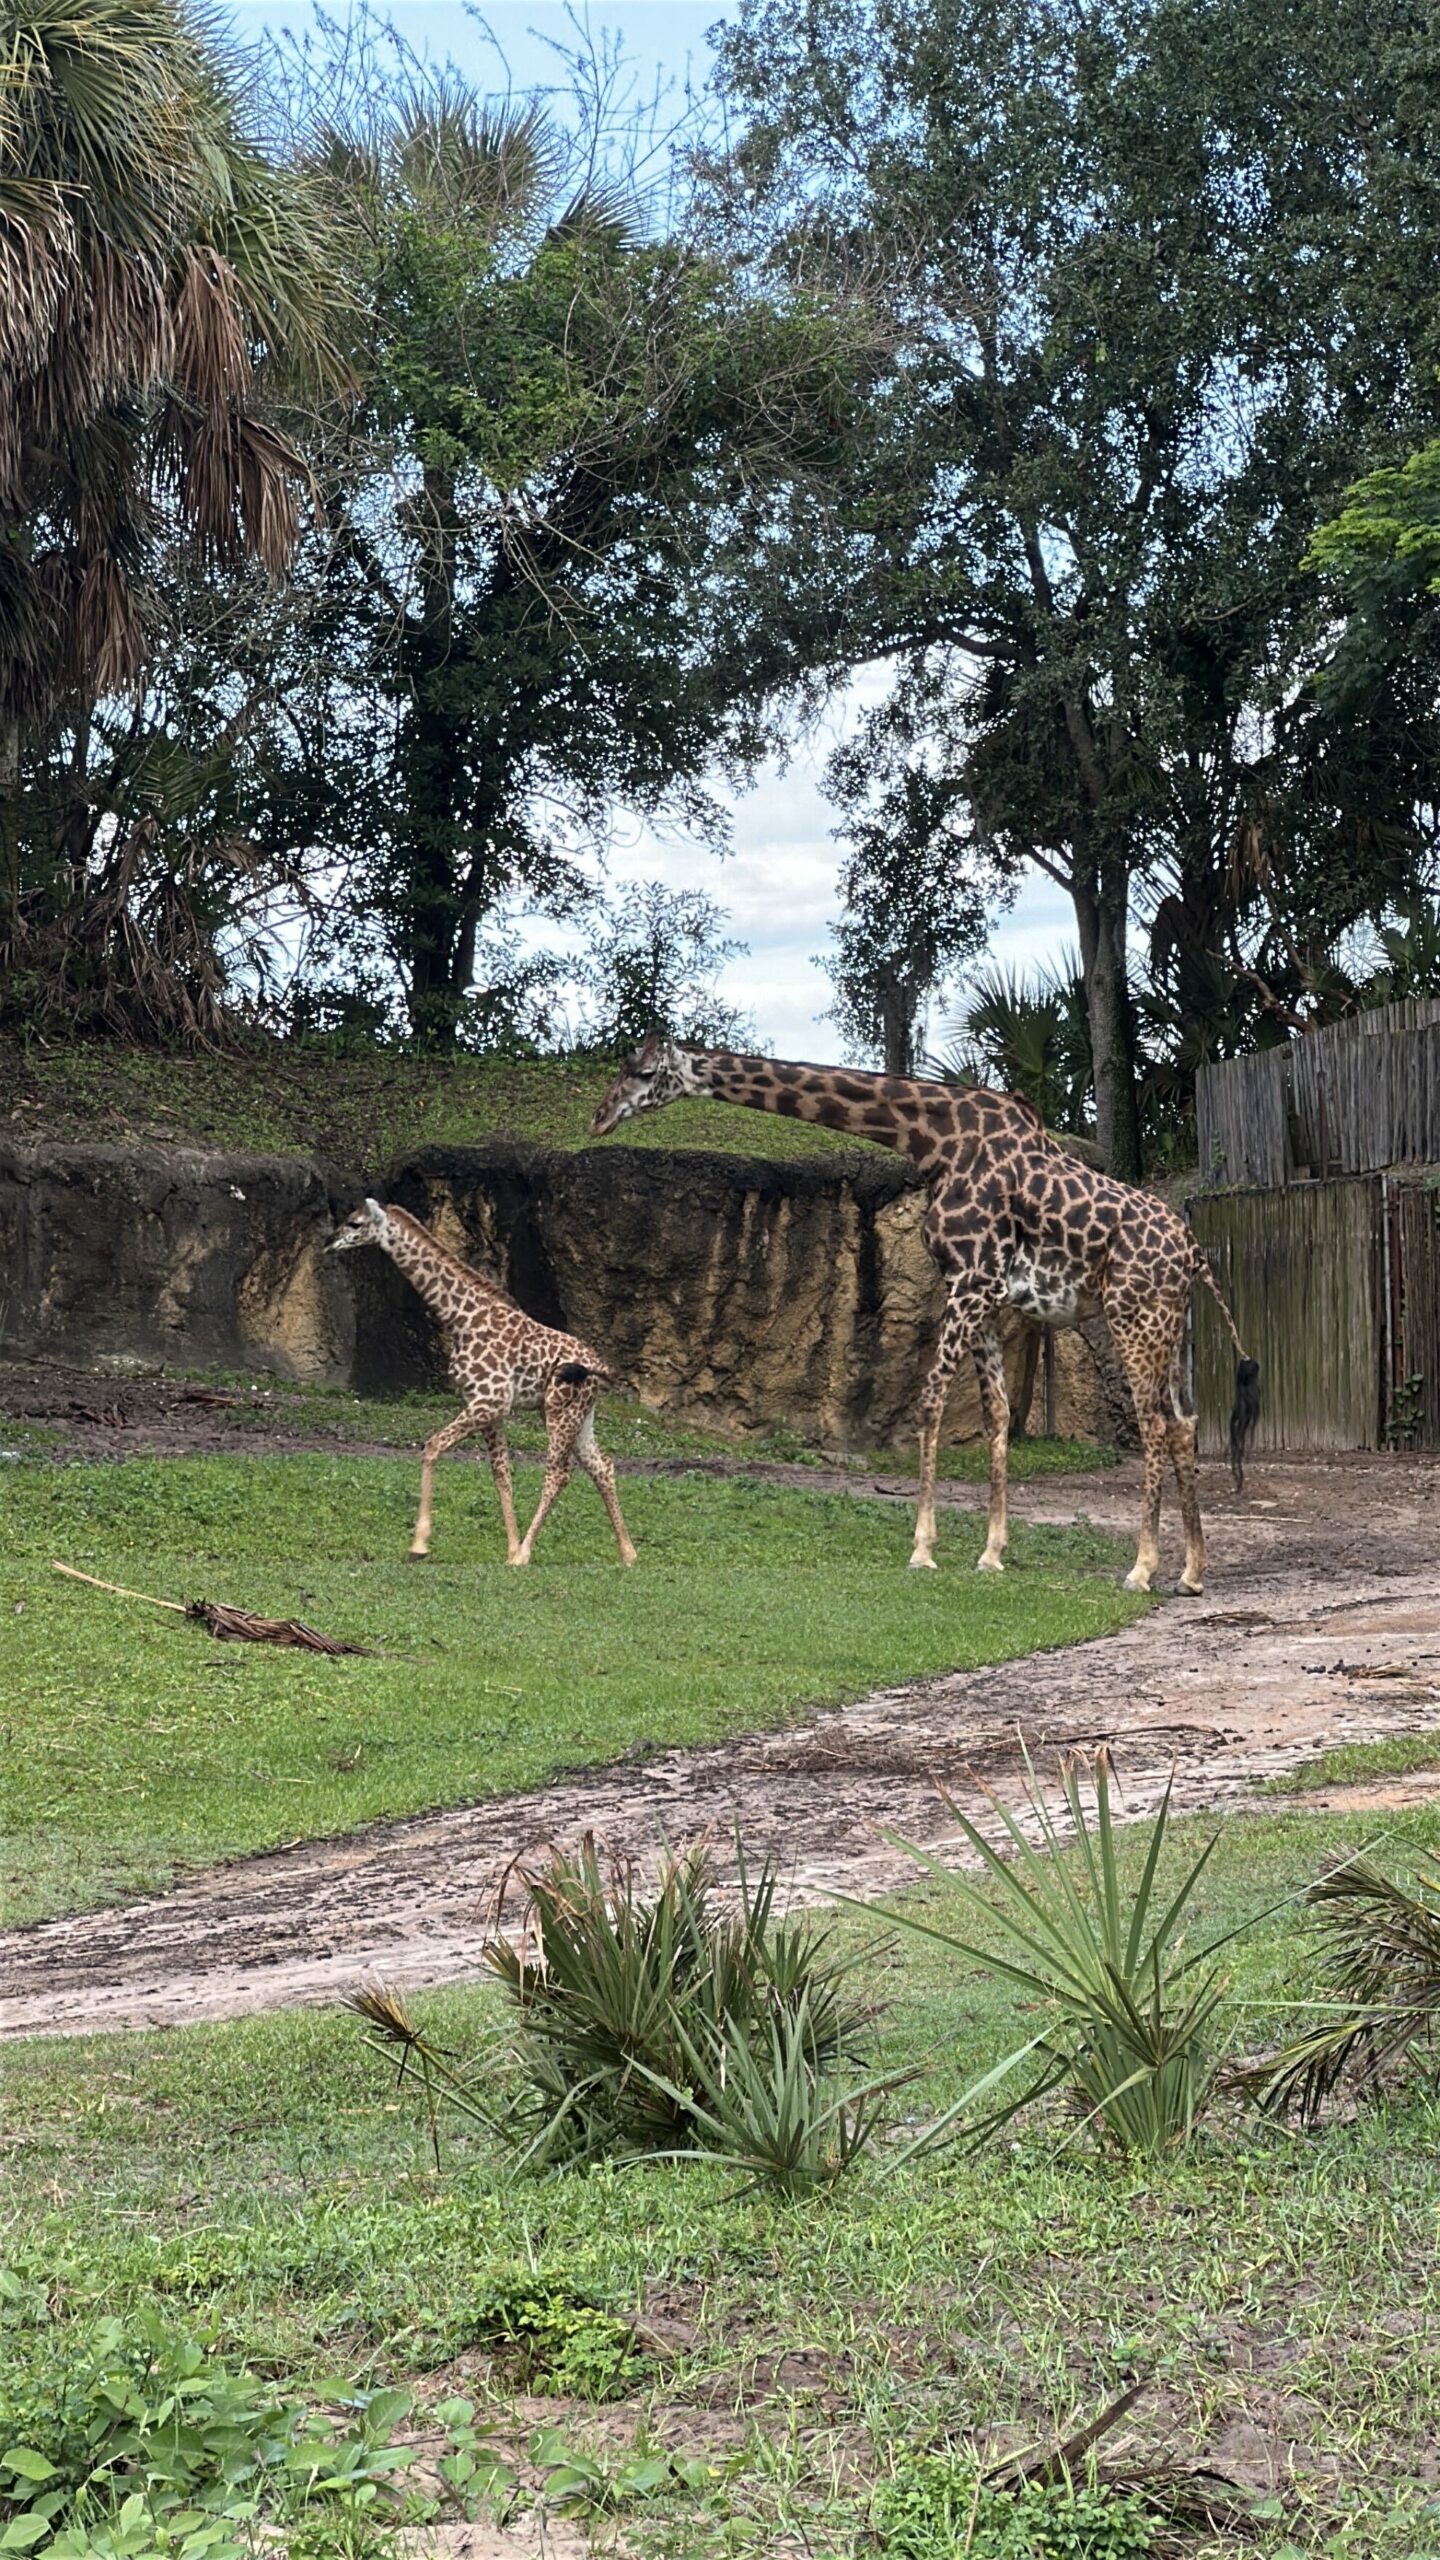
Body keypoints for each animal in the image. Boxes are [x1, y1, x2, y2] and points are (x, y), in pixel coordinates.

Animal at [326, 1199, 637, 1569]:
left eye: (355, 1223)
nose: (330, 1242)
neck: (461, 1319)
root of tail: (599, 1366)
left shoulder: (489, 1400)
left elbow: (432, 1446)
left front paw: (419, 1545)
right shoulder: (487, 1407)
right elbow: (501, 1472)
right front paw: (510, 1548)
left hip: (560, 1409)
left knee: (559, 1474)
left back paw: (529, 1554)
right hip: (579, 1413)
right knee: (601, 1465)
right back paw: (628, 1552)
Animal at [591, 1039, 1260, 1595]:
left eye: (643, 1072)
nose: (599, 1118)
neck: (933, 1139)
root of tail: (1194, 1251)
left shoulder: (971, 1280)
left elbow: (931, 1400)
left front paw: (922, 1550)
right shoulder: (984, 1293)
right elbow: (995, 1415)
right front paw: (991, 1553)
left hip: (1132, 1315)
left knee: (1154, 1424)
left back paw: (1142, 1569)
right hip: (1167, 1323)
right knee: (1184, 1422)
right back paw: (1192, 1572)